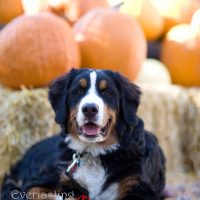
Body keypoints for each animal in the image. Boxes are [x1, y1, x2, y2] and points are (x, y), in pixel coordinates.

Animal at [1, 69, 166, 200]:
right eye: (78, 91)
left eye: (107, 92)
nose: (90, 109)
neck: (95, 152)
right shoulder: (46, 181)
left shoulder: (139, 187)